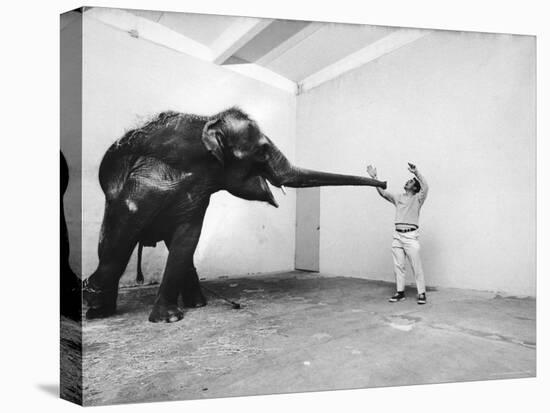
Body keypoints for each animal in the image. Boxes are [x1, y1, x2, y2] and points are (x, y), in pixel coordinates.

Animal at [84, 106, 388, 322]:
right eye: (262, 151)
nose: (384, 182)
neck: (208, 120)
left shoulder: (197, 195)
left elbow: (187, 239)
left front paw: (170, 317)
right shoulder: (144, 185)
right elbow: (122, 239)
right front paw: (168, 319)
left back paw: (197, 304)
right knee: (113, 243)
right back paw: (97, 310)